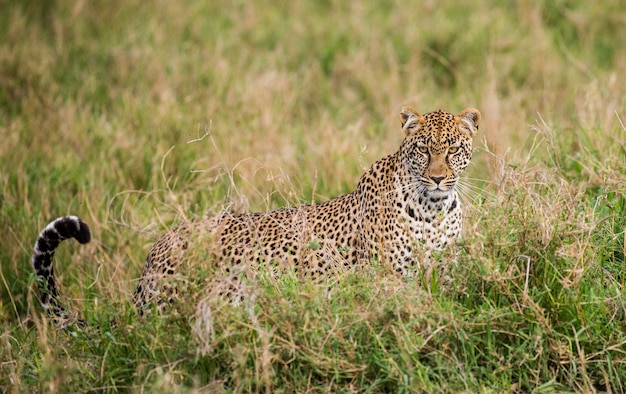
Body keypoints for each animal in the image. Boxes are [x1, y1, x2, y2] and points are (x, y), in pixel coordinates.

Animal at [30, 106, 478, 322]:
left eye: (454, 148)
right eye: (424, 150)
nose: (439, 178)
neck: (434, 210)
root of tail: (147, 267)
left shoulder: (445, 273)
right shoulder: (389, 279)